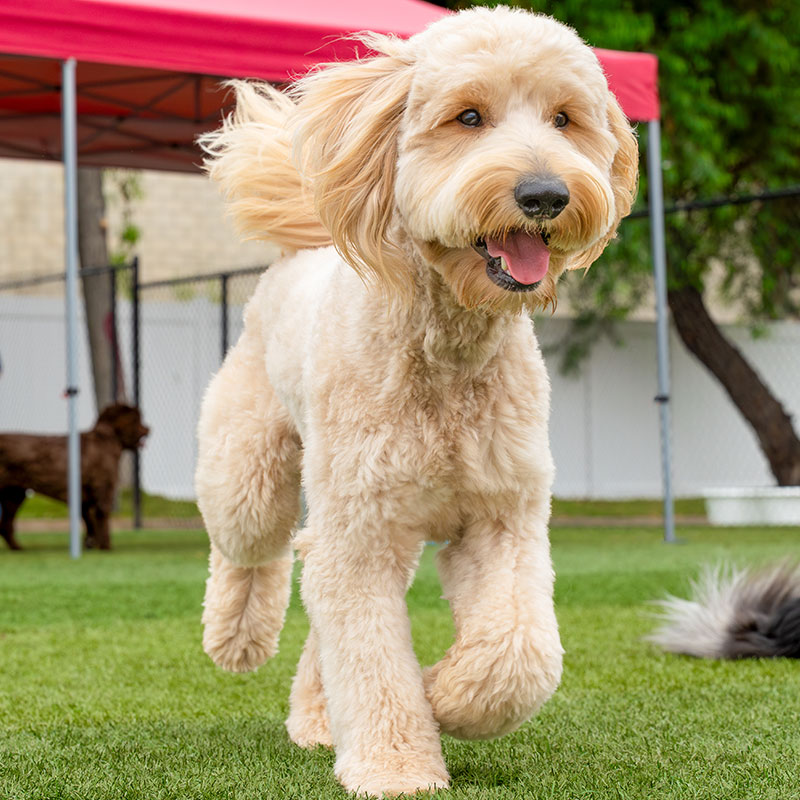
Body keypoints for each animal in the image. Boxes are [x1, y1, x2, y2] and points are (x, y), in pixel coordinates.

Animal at [0, 406, 148, 552]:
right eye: (137, 419)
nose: (148, 428)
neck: (107, 439)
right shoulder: (104, 489)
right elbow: (101, 518)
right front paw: (105, 546)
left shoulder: (84, 498)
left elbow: (90, 521)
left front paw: (90, 543)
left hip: (13, 494)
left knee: (6, 524)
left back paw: (17, 547)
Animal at [195, 6, 636, 792]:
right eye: (469, 116)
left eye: (564, 119)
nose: (546, 196)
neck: (447, 358)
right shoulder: (360, 536)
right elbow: (373, 664)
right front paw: (397, 765)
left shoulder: (502, 518)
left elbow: (522, 652)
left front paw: (446, 696)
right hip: (251, 467)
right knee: (250, 549)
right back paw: (237, 637)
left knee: (316, 606)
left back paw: (316, 719)